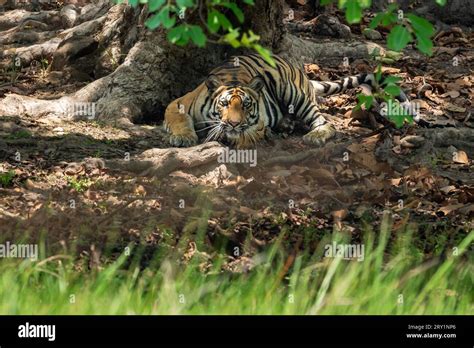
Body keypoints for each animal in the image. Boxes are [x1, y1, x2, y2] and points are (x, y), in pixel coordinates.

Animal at [164, 53, 414, 149]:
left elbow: (250, 133)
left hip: (292, 91)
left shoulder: (257, 123)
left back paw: (314, 135)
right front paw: (183, 138)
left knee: (325, 122)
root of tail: (299, 71)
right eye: (224, 104)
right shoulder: (178, 102)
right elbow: (179, 119)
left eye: (246, 105)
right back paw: (286, 124)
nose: (234, 123)